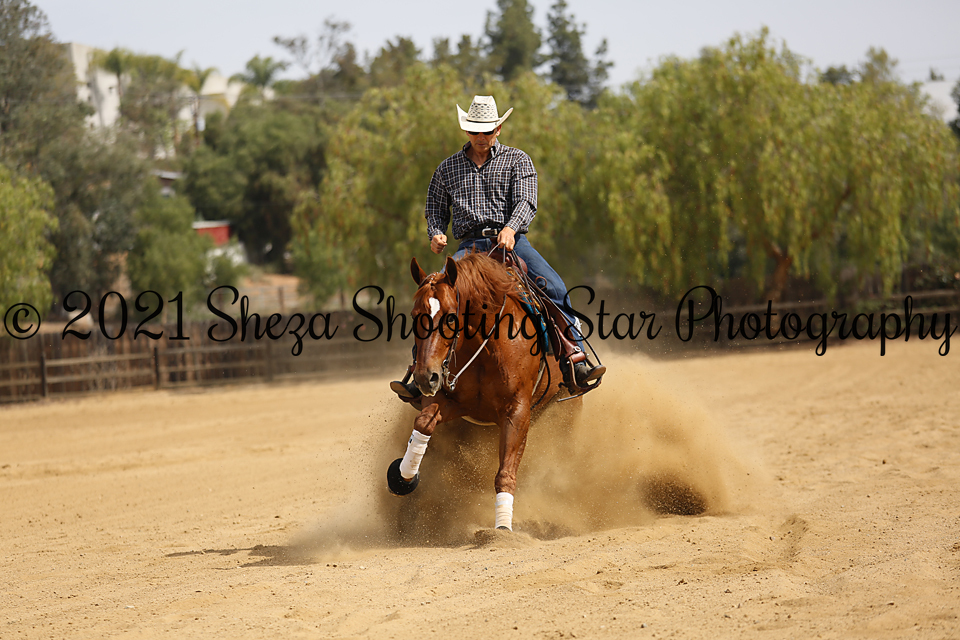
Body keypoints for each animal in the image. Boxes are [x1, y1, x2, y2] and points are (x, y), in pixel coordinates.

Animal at [386, 252, 570, 531]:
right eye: (415, 314)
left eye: (451, 317)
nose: (425, 377)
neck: (487, 347)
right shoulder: (450, 401)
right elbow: (423, 423)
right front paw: (403, 476)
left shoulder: (517, 411)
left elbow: (505, 472)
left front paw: (502, 528)